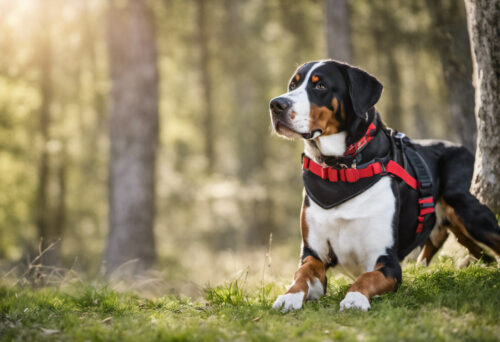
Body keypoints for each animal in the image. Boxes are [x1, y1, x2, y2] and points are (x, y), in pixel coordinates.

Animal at [270, 60, 500, 312]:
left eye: (320, 85)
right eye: (293, 85)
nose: (276, 105)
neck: (342, 171)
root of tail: (462, 148)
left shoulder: (386, 261)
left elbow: (366, 277)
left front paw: (355, 298)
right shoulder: (314, 253)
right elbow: (301, 273)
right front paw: (289, 296)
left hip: (467, 208)